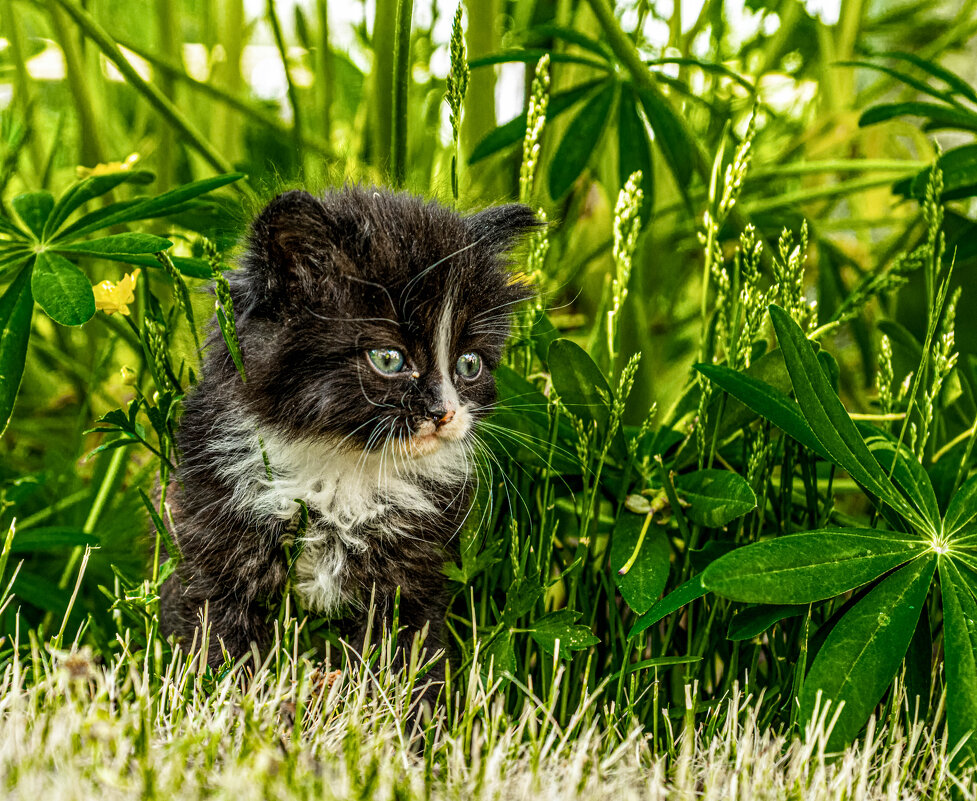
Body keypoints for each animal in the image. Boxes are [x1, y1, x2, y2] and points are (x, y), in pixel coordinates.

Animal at [163, 188, 536, 700]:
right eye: (388, 358)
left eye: (469, 364)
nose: (444, 413)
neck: (343, 465)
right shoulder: (215, 532)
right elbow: (217, 641)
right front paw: (225, 701)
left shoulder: (412, 572)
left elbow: (404, 657)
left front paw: (405, 717)